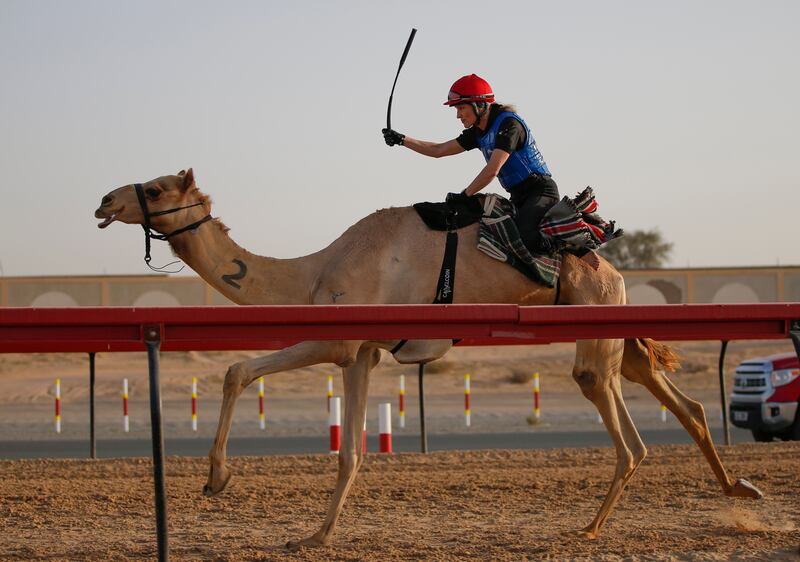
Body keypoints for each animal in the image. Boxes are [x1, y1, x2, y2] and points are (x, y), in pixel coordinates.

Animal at [94, 170, 764, 548]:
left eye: (153, 189)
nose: (103, 201)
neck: (312, 272)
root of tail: (608, 261)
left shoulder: (339, 341)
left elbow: (237, 371)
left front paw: (219, 479)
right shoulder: (363, 354)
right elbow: (350, 450)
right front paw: (315, 533)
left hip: (592, 320)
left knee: (623, 426)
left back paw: (592, 529)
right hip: (613, 327)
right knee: (674, 395)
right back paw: (740, 487)